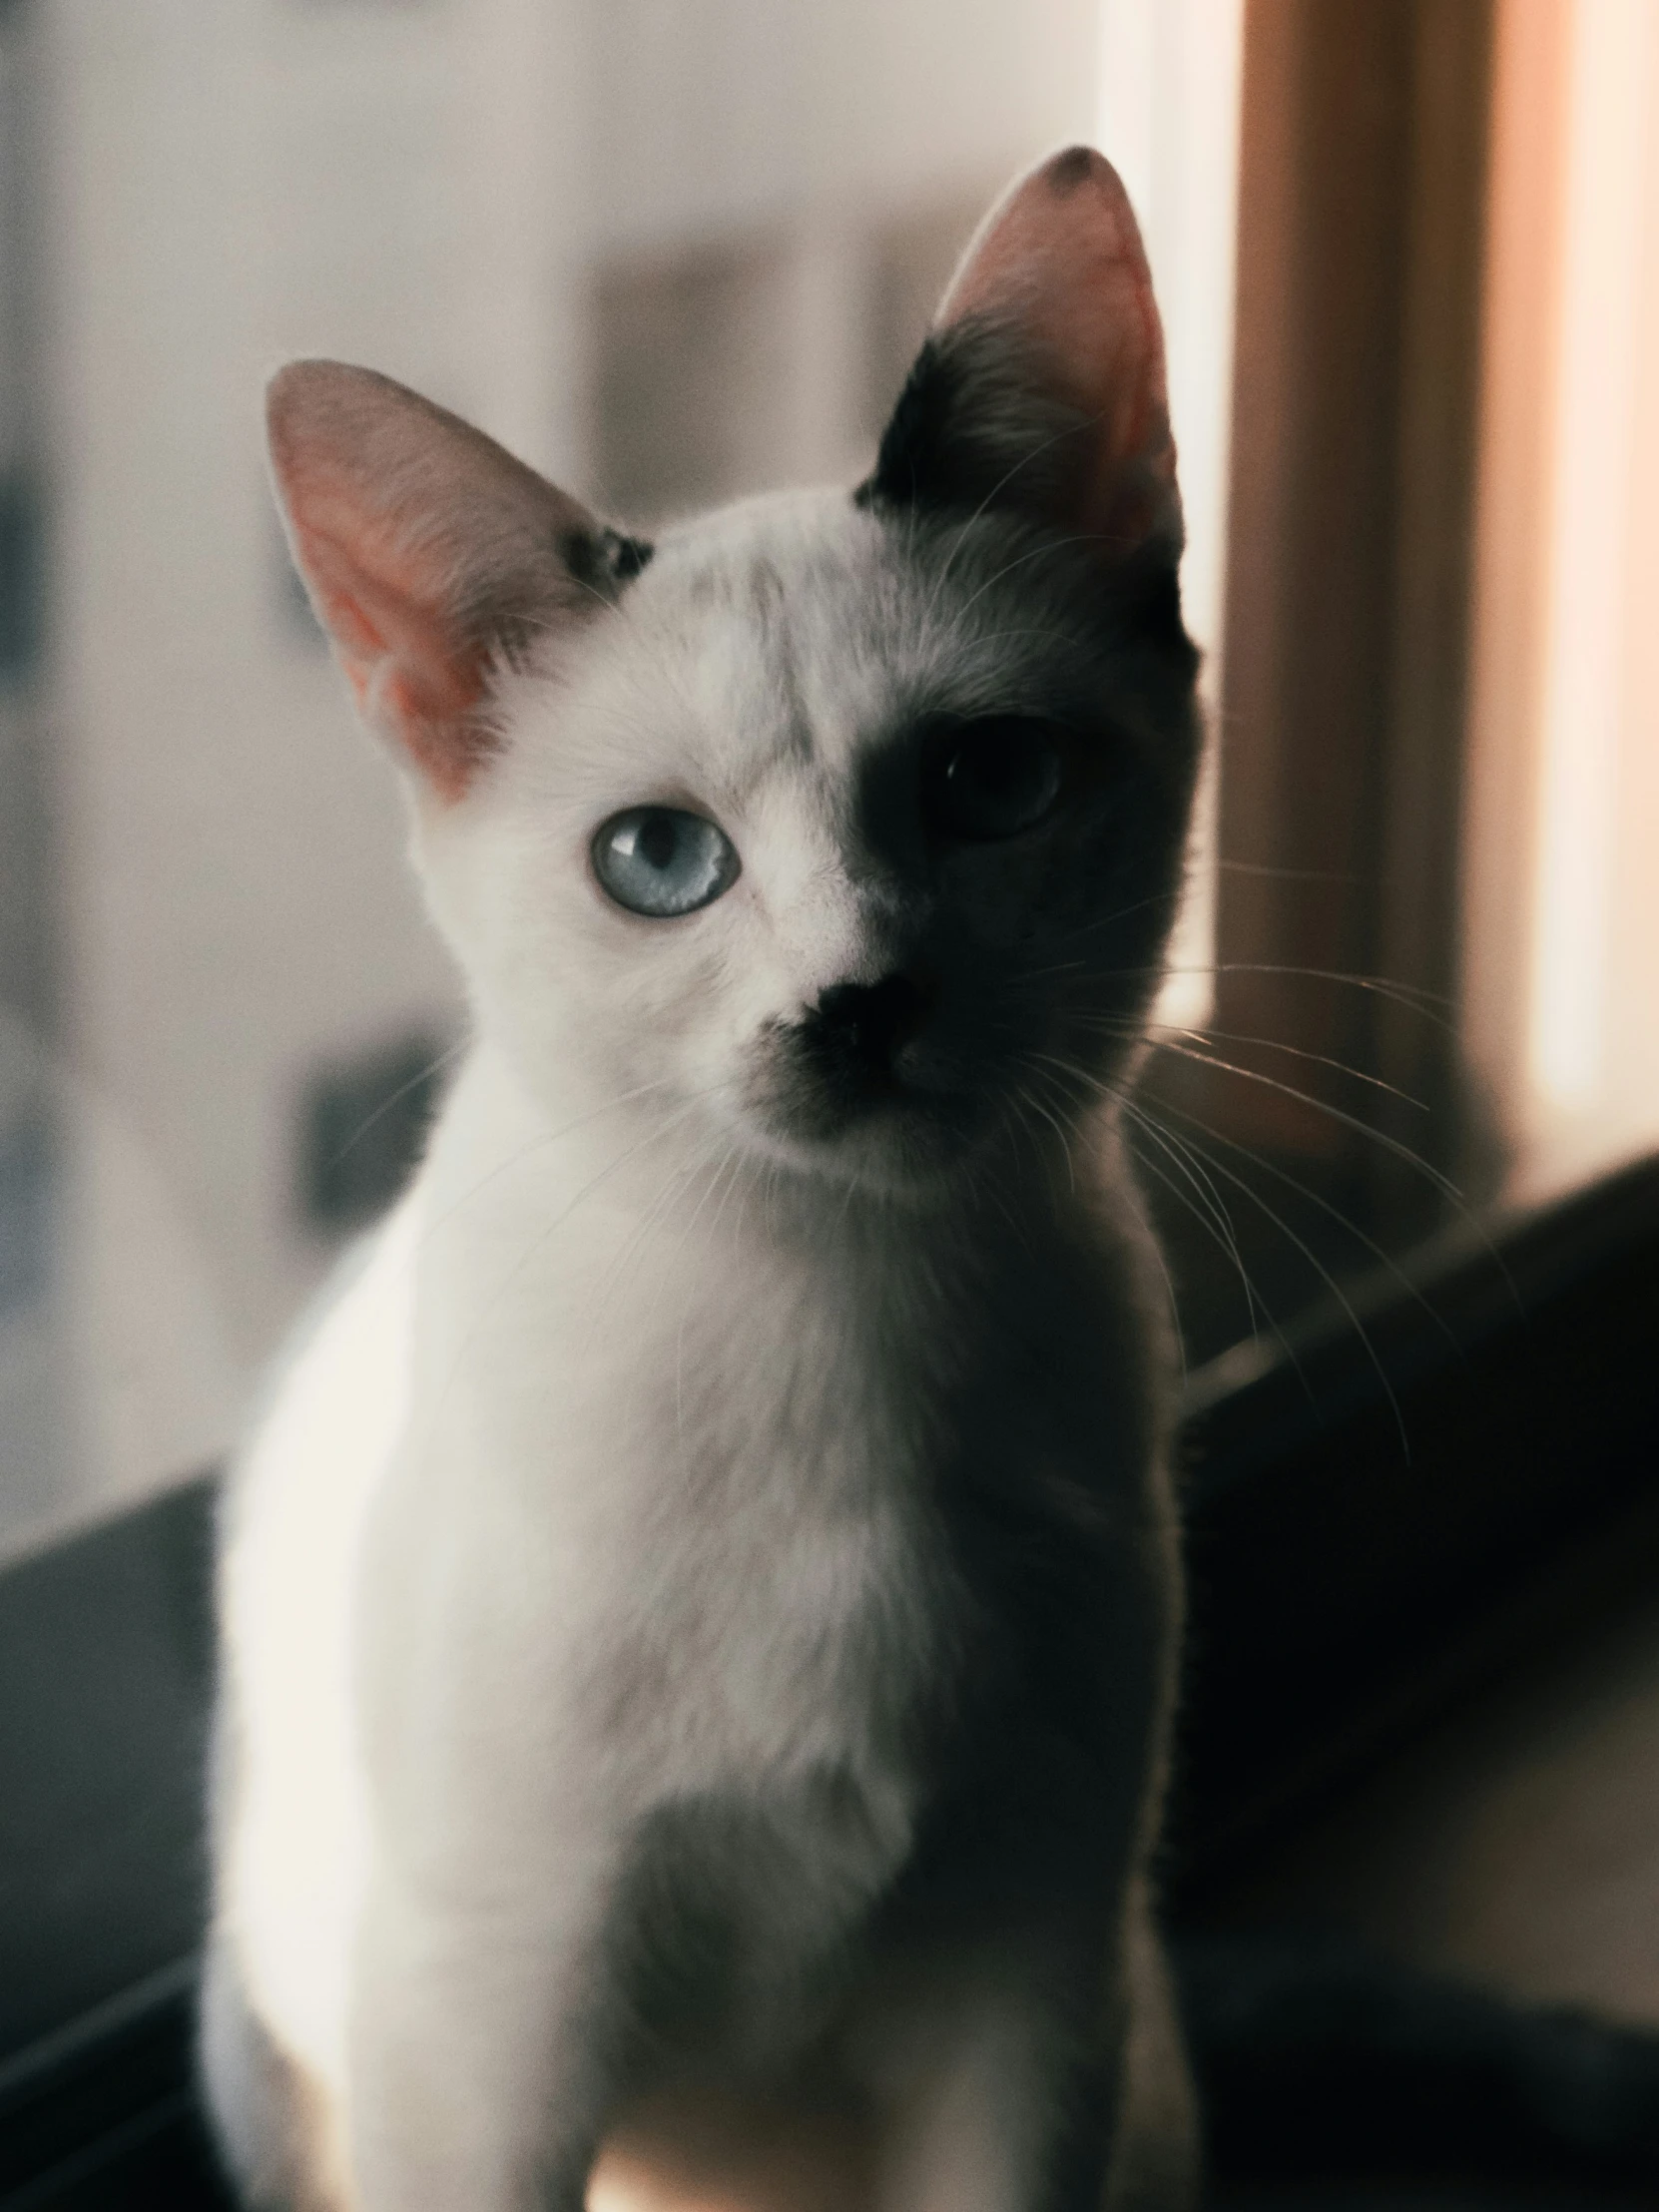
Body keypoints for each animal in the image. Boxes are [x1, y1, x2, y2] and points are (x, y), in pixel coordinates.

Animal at [201, 142, 1212, 2212]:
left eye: (989, 784)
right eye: (660, 862)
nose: (861, 1003)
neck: (838, 1325)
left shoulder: (1034, 1976)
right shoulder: (496, 2013)